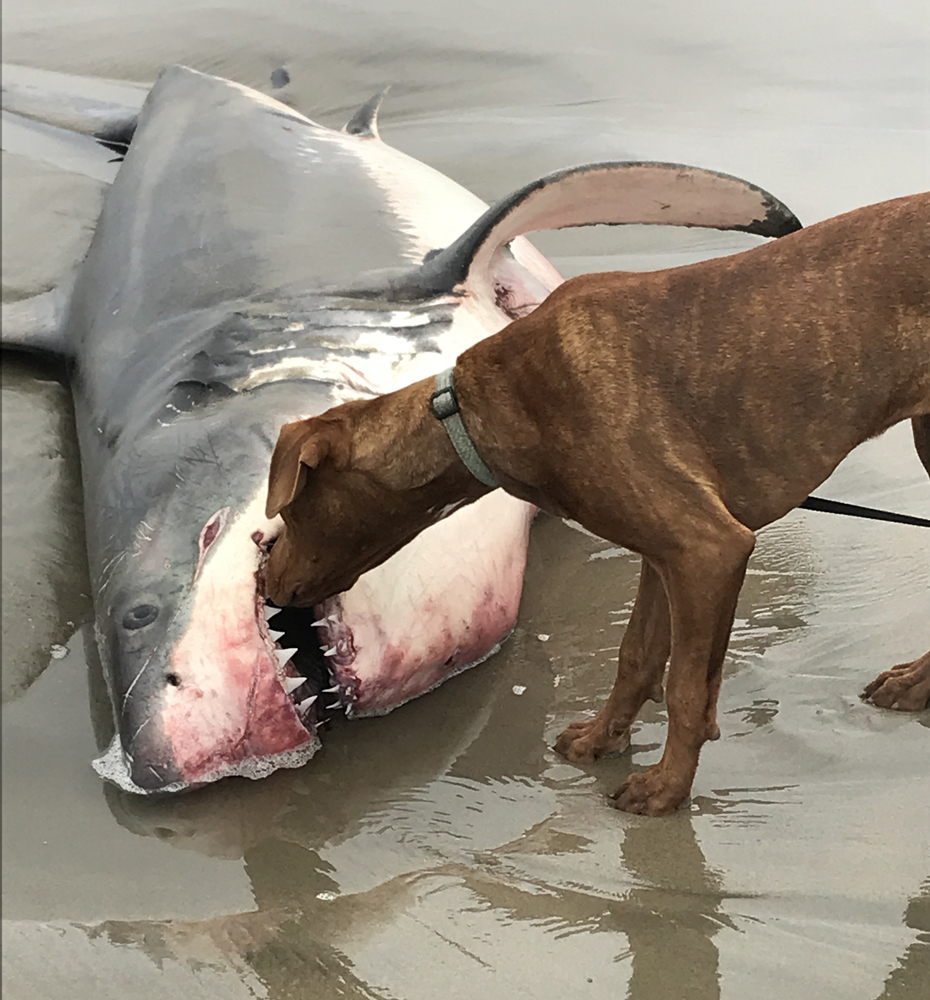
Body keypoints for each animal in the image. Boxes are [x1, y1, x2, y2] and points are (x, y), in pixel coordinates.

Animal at [260, 193, 928, 812]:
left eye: (287, 511)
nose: (264, 580)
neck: (475, 414)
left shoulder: (707, 548)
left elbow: (687, 690)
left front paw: (665, 790)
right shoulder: (665, 555)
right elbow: (635, 656)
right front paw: (602, 740)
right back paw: (915, 687)